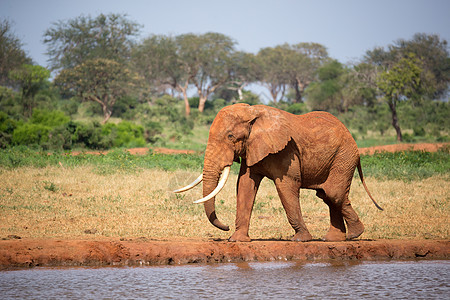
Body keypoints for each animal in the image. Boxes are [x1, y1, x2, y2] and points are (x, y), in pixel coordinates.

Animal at [174, 103, 382, 241]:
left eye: (230, 136)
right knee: (326, 195)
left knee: (333, 193)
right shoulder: (252, 148)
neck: (253, 112)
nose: (225, 227)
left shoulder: (287, 151)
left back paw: (353, 235)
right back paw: (333, 239)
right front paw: (237, 240)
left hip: (344, 156)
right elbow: (245, 185)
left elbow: (286, 186)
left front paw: (300, 240)